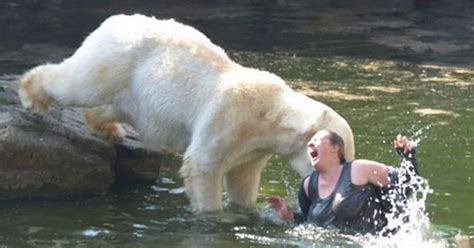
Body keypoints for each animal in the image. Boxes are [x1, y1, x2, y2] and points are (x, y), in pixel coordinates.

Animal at [18, 13, 354, 212]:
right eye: (342, 154)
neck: (271, 115)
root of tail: (113, 20)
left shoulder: (254, 148)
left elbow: (242, 178)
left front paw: (247, 211)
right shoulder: (230, 117)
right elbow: (203, 164)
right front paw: (213, 215)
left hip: (133, 88)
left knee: (112, 104)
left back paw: (108, 127)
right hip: (117, 58)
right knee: (79, 83)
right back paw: (32, 98)